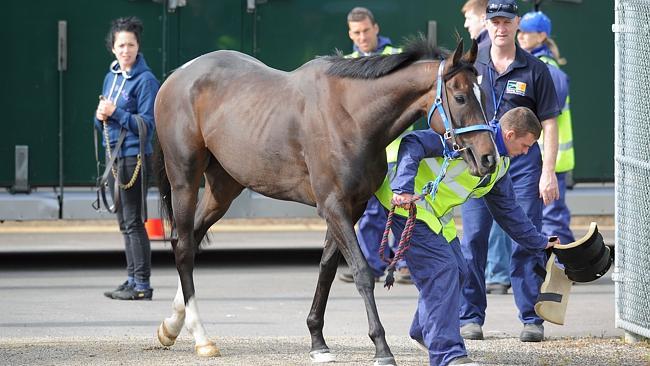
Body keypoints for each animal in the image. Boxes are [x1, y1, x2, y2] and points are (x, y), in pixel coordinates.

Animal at [153, 37, 496, 364]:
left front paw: (318, 342)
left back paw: (172, 325)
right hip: (185, 178)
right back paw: (201, 337)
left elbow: (328, 269)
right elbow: (361, 272)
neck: (350, 115)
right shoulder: (333, 206)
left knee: (191, 238)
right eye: (461, 97)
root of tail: (178, 76)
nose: (488, 158)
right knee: (184, 246)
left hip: (223, 187)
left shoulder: (351, 207)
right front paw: (381, 347)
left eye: (483, 95)